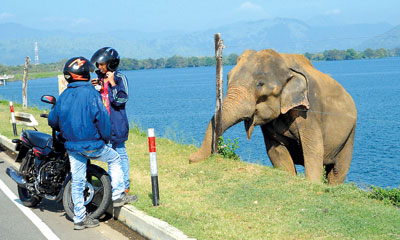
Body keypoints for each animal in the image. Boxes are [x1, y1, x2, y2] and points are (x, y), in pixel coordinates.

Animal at [189, 47, 358, 185]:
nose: (190, 158)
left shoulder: (309, 112)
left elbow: (313, 149)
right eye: (228, 78)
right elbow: (276, 151)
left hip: (349, 135)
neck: (285, 63)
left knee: (337, 171)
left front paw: (312, 183)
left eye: (260, 84)